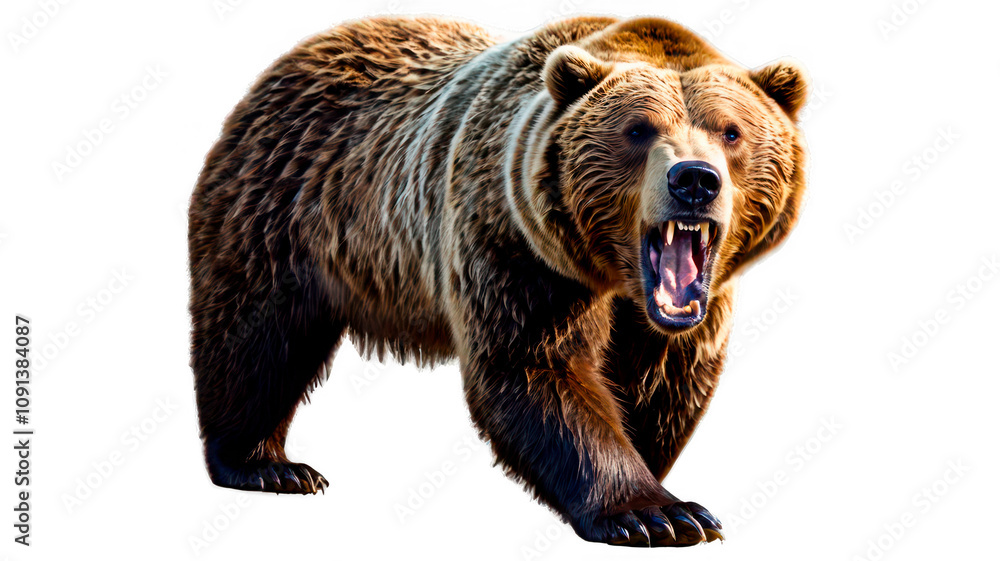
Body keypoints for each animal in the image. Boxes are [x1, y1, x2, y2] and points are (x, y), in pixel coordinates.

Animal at [188, 15, 808, 547]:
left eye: (731, 131)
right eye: (638, 129)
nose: (694, 180)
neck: (615, 274)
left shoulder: (686, 314)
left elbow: (660, 383)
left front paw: (666, 491)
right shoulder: (515, 242)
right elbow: (536, 367)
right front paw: (655, 514)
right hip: (281, 207)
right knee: (255, 336)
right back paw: (266, 464)